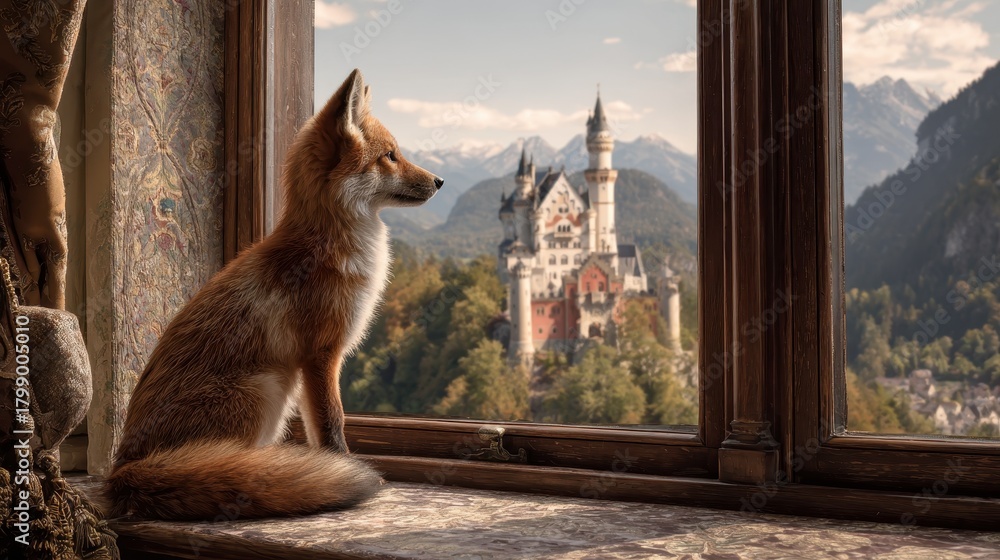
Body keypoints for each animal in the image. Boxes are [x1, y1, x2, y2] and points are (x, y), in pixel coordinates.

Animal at [104, 69, 443, 520]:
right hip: (266, 388)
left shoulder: (316, 361)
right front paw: (343, 467)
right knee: (234, 462)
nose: (440, 181)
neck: (327, 245)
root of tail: (123, 470)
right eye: (390, 155)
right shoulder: (320, 355)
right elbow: (332, 426)